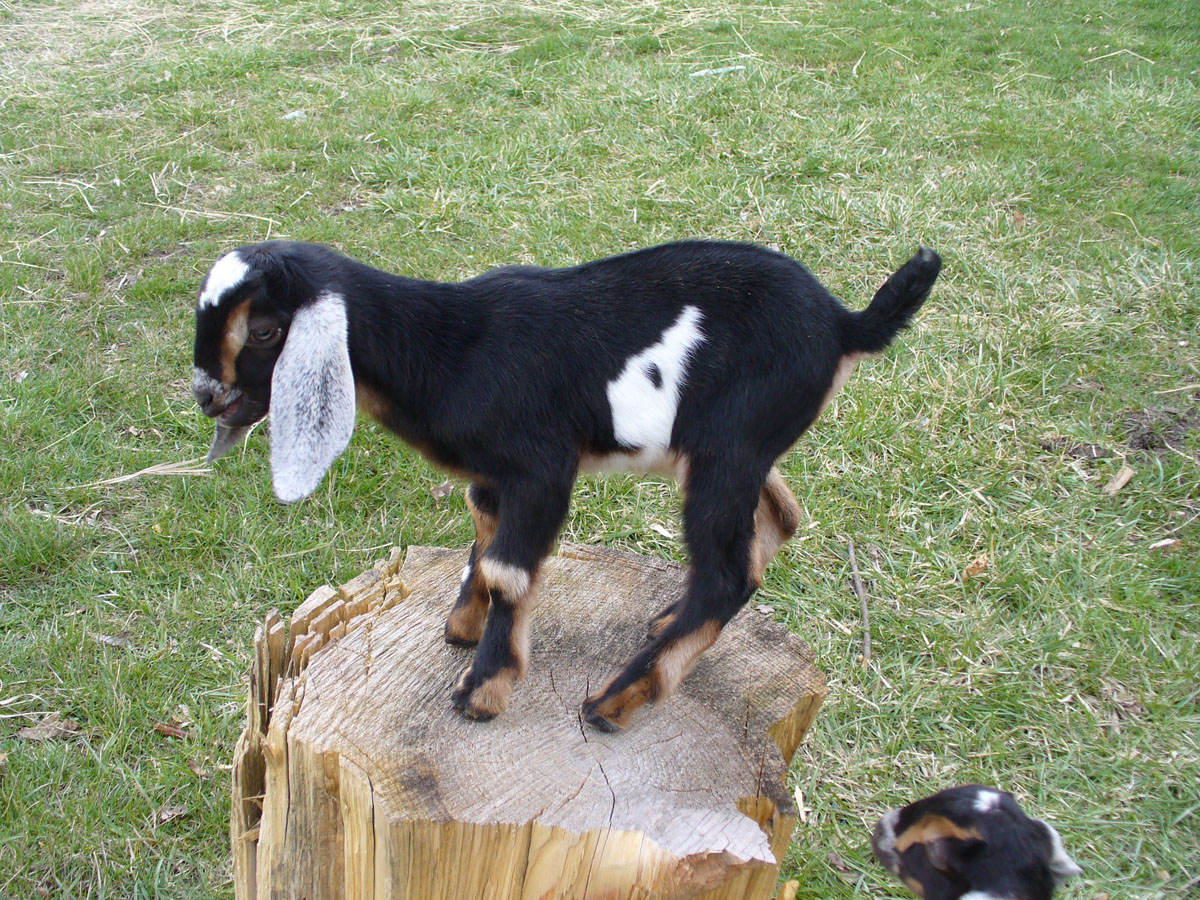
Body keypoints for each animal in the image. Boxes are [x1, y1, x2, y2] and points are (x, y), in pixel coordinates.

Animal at [191, 238, 940, 729]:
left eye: (264, 329)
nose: (205, 396)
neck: (452, 348)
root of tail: (844, 323)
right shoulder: (495, 475)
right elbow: (483, 533)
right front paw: (462, 625)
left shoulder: (541, 465)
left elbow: (509, 571)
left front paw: (483, 690)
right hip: (738, 449)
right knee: (779, 519)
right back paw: (667, 620)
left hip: (729, 449)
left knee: (729, 572)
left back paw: (617, 701)